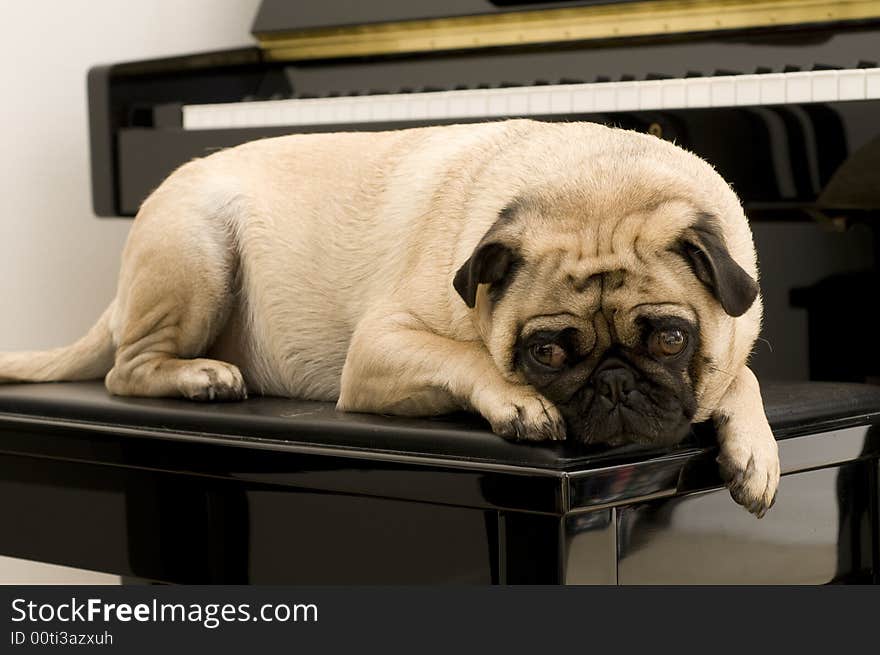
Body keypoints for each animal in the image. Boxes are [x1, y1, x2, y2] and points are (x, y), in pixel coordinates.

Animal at [3, 120, 780, 516]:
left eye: (672, 339)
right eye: (546, 353)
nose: (615, 383)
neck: (596, 181)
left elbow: (742, 378)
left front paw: (755, 449)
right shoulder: (378, 349)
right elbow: (469, 356)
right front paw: (519, 403)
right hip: (195, 250)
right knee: (125, 370)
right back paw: (201, 377)